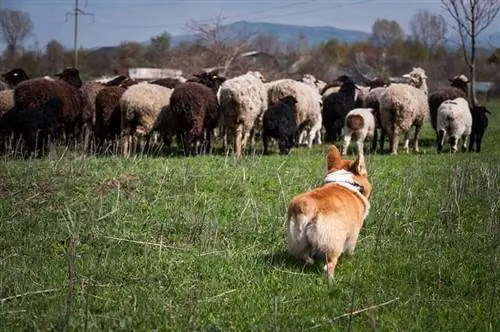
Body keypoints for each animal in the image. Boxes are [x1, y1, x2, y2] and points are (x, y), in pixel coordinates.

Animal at [286, 145, 372, 278]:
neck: (345, 182)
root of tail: (307, 205)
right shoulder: (354, 233)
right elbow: (351, 248)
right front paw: (350, 257)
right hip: (332, 241)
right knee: (330, 264)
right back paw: (330, 279)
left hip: (297, 238)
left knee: (304, 254)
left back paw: (310, 262)